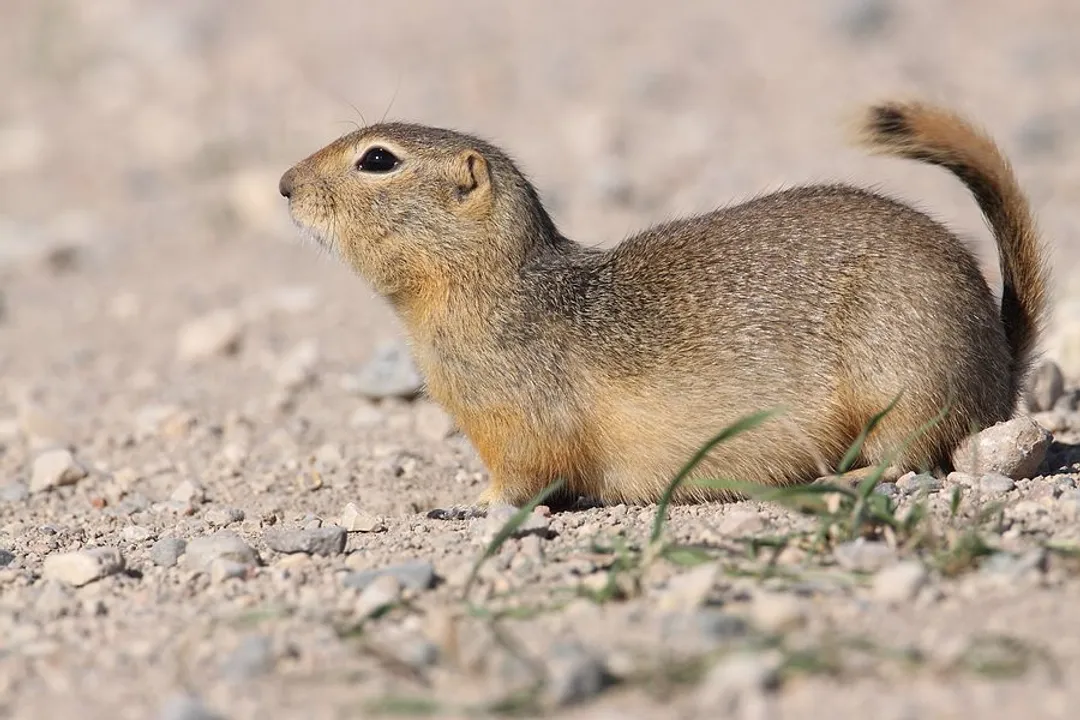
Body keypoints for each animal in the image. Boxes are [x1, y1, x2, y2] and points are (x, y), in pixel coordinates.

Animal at [279, 101, 1048, 507]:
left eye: (379, 160)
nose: (284, 184)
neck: (497, 287)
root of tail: (1001, 363)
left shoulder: (522, 422)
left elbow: (524, 477)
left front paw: (469, 504)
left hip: (907, 384)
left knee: (914, 459)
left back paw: (843, 476)